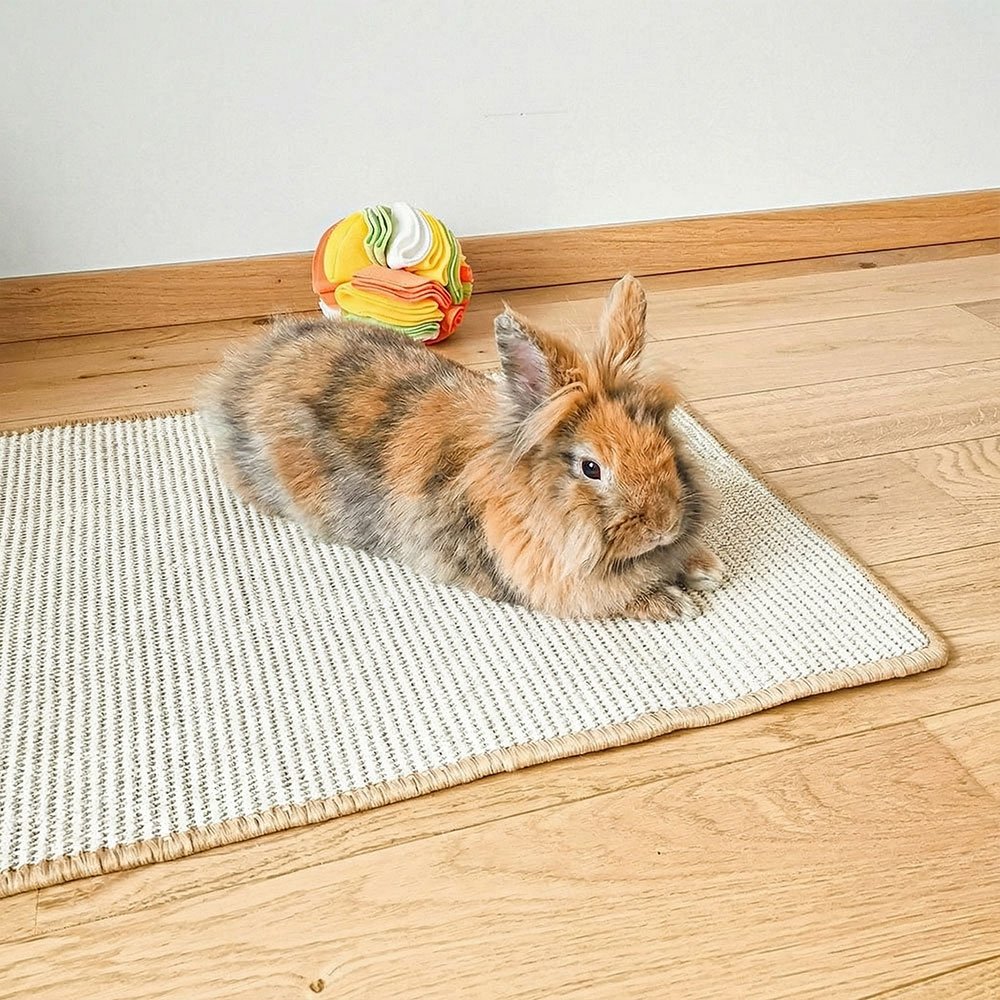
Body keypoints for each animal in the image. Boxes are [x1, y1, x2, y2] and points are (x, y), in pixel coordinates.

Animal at [199, 274, 724, 620]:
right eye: (591, 468)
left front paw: (706, 567)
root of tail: (248, 363)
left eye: (664, 437)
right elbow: (613, 597)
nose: (664, 525)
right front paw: (673, 604)